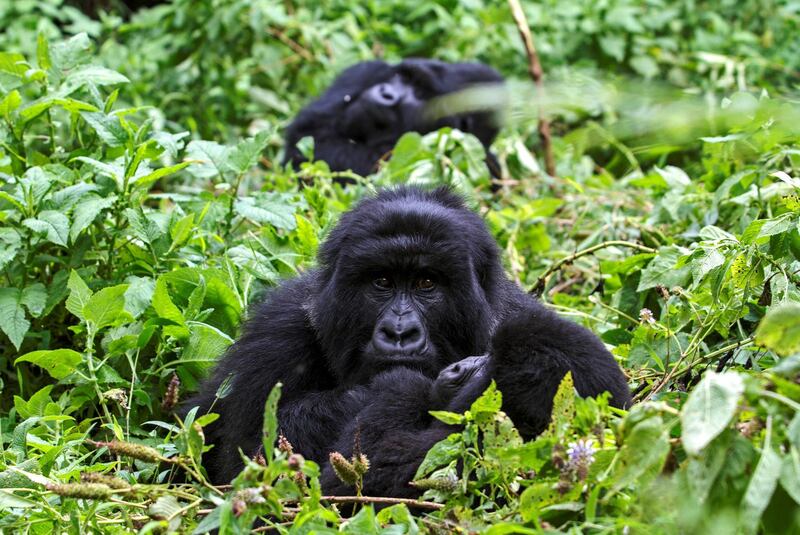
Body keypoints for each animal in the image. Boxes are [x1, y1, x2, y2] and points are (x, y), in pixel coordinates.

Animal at [284, 58, 504, 180]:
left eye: (420, 93)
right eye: (402, 77)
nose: (386, 93)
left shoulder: (490, 168)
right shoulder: (364, 71)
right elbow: (311, 131)